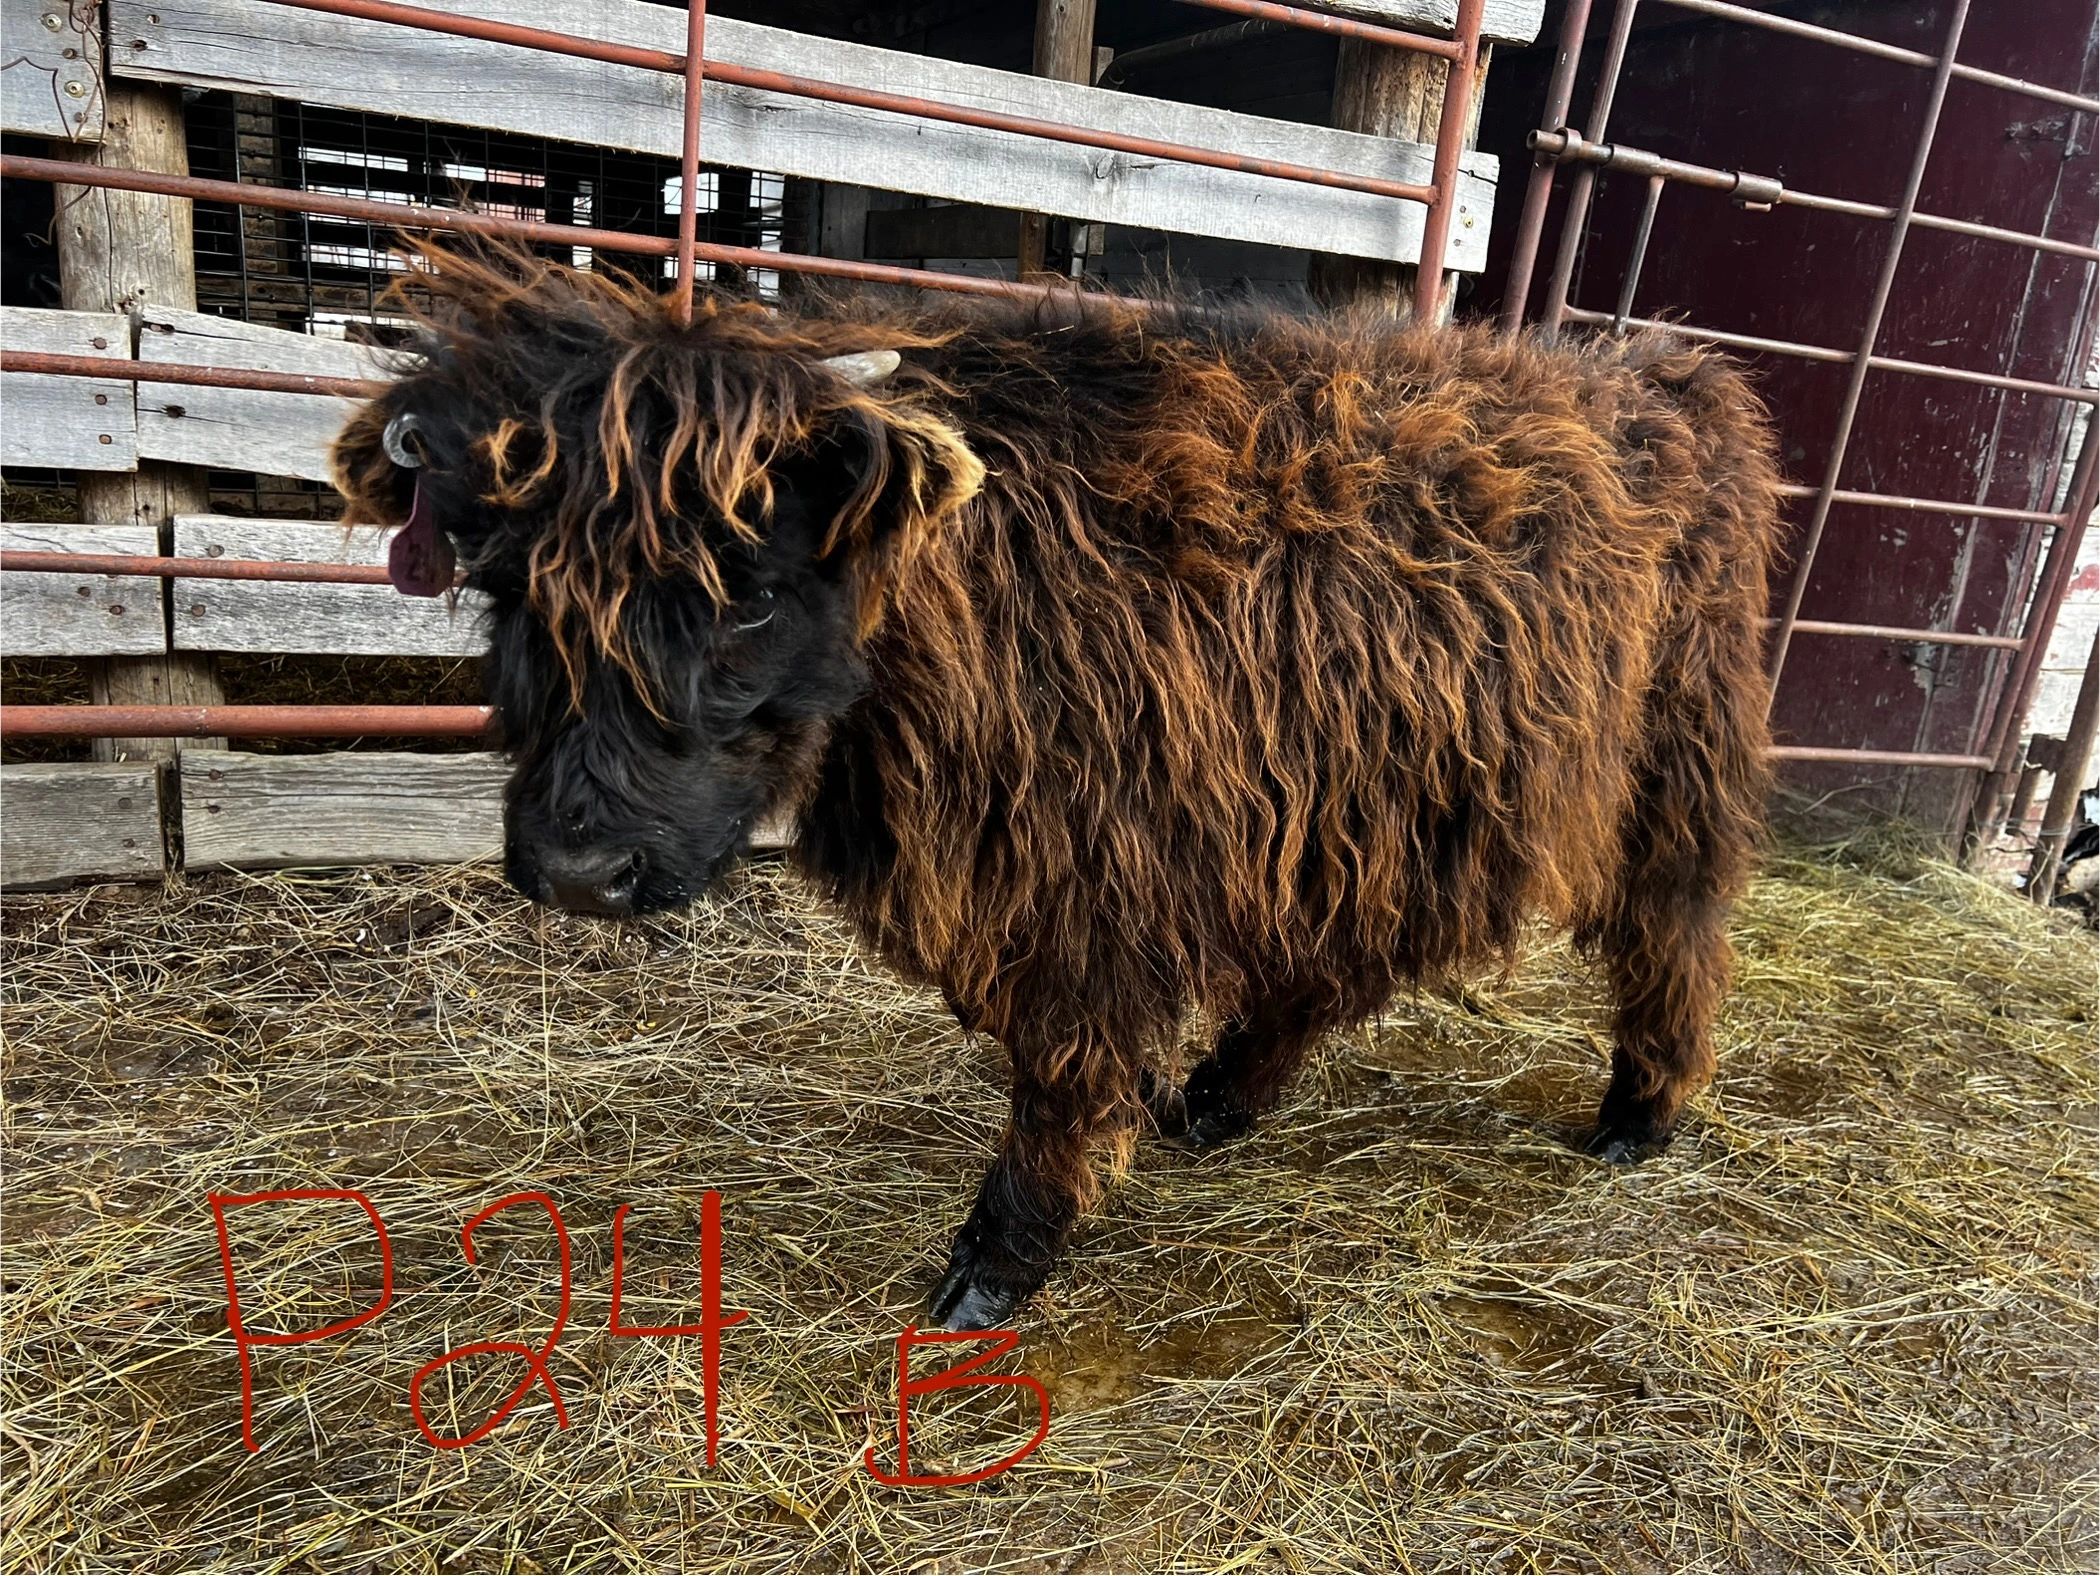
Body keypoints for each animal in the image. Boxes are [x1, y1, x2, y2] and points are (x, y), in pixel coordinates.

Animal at [333, 246, 1782, 1331]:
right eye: (511, 586)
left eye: (745, 589)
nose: (578, 871)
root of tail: (1660, 370)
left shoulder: (1097, 883)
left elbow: (1064, 1074)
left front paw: (996, 1265)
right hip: (1381, 785)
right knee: (1333, 958)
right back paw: (1223, 1097)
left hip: (1674, 759)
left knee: (1674, 924)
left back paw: (1641, 1114)